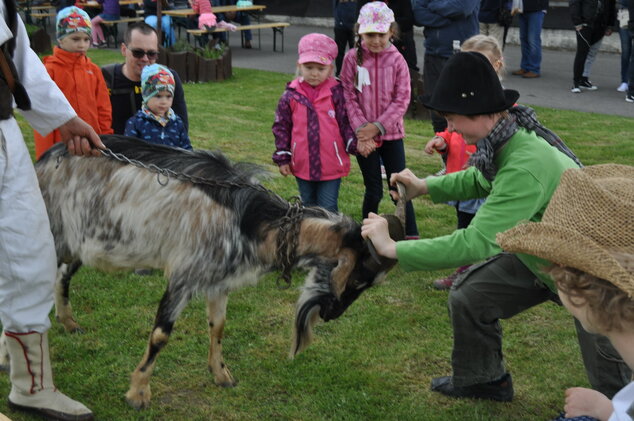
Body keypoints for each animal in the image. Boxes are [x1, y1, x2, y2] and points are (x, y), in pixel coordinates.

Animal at [32, 135, 404, 406]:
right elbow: (161, 334)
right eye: (360, 277)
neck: (256, 223)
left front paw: (222, 375)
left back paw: (69, 322)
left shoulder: (218, 279)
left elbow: (219, 326)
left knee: (62, 274)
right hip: (53, 231)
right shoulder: (184, 275)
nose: (331, 314)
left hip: (80, 240)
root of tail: (46, 156)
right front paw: (137, 393)